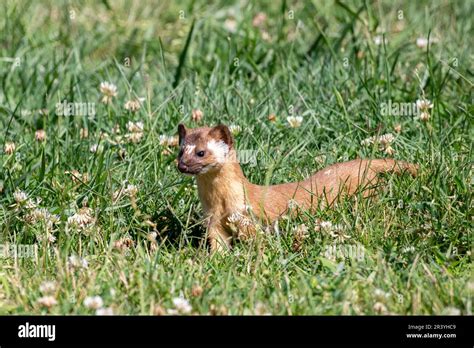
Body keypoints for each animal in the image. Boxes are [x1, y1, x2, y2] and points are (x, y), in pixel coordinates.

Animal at [176, 123, 416, 251]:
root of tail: (361, 163)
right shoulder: (213, 221)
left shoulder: (247, 217)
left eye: (201, 152)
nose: (182, 165)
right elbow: (218, 244)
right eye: (180, 150)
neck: (221, 203)